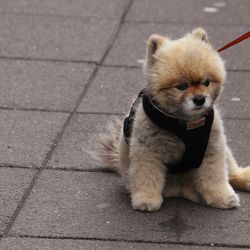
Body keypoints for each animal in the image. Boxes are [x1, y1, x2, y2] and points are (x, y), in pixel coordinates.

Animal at [94, 28, 250, 212]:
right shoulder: (148, 151)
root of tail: (182, 187)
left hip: (224, 149)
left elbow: (215, 176)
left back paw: (244, 178)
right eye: (181, 86)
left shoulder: (213, 147)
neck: (185, 124)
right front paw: (146, 199)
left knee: (230, 172)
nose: (199, 99)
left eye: (206, 82)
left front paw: (222, 197)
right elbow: (146, 176)